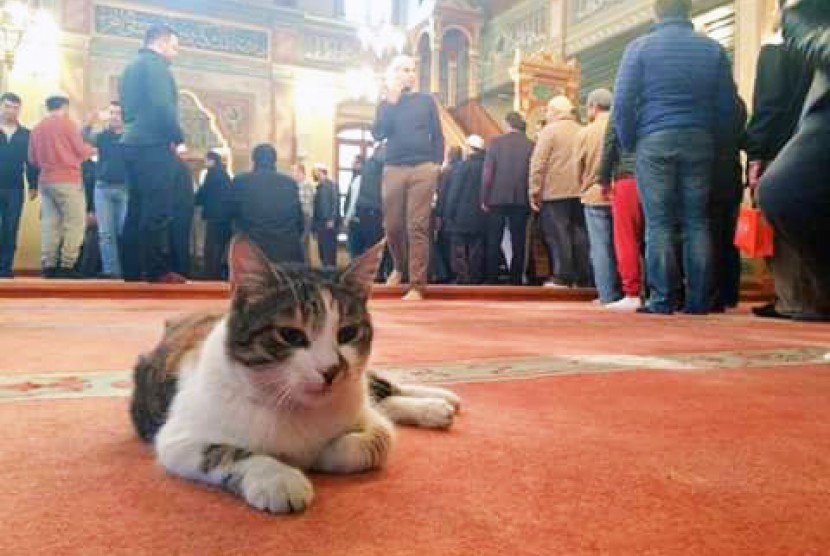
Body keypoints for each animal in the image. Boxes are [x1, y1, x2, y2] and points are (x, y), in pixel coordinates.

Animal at [133, 237, 464, 516]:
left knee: (382, 389)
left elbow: (376, 440)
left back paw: (438, 401)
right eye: (291, 335)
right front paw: (277, 477)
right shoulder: (177, 437)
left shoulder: (362, 410)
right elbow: (225, 452)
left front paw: (318, 454)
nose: (331, 370)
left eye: (347, 333)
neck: (297, 407)